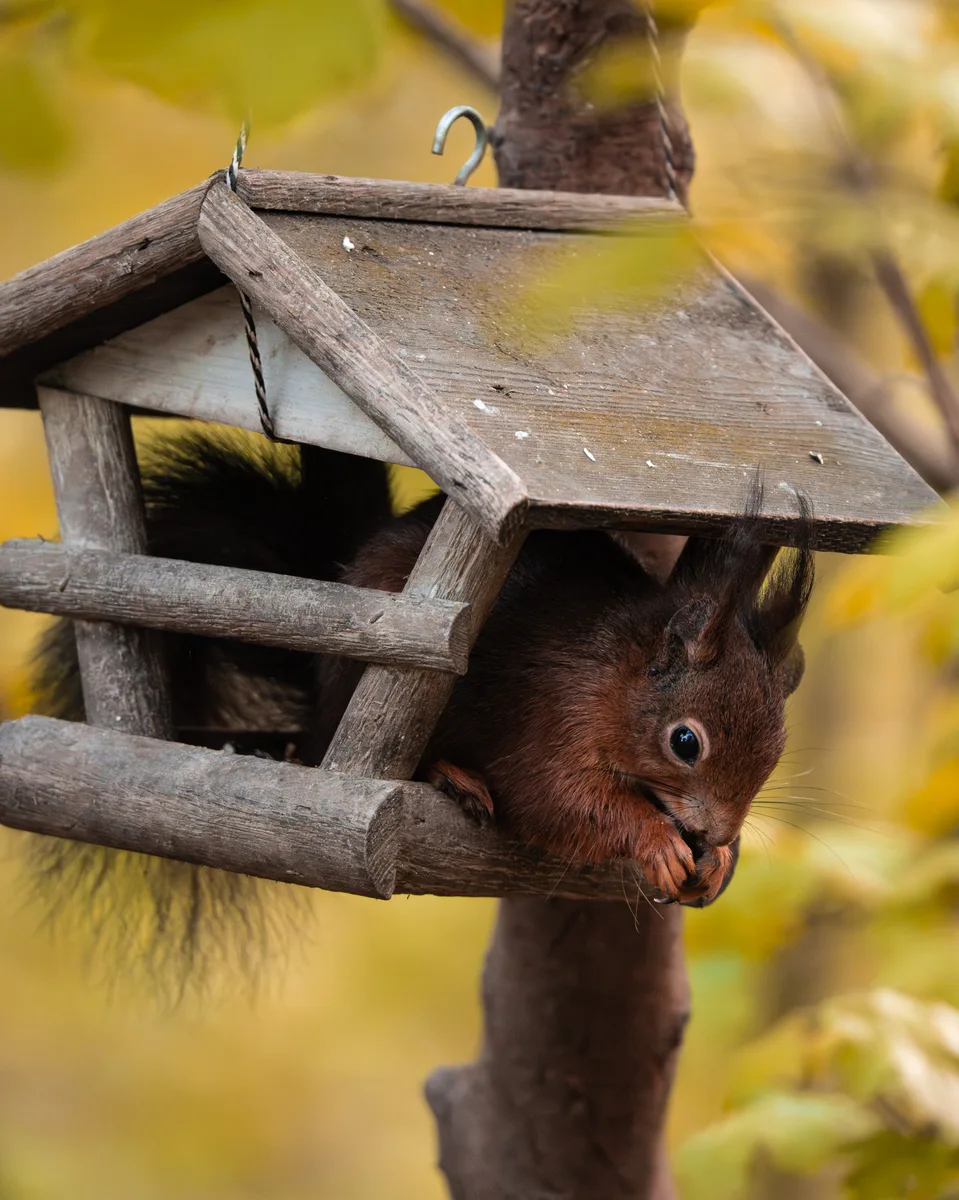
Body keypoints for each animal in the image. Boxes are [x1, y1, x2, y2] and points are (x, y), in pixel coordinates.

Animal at [25, 428, 812, 980]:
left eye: (777, 751)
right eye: (685, 742)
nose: (715, 830)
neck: (615, 677)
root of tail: (315, 709)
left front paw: (721, 860)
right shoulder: (548, 722)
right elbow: (559, 802)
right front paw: (655, 841)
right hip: (353, 701)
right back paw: (447, 775)